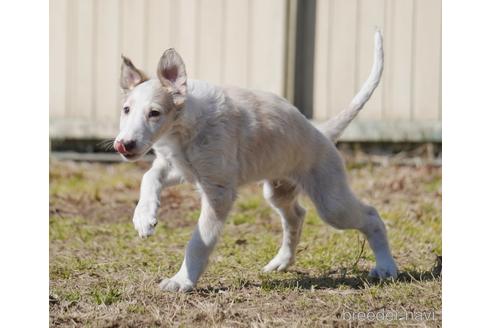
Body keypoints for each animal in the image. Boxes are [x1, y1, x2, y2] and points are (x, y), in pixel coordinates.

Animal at [114, 31, 396, 292]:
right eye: (126, 109)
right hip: (278, 190)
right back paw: (281, 261)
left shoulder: (218, 190)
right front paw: (144, 218)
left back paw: (386, 267)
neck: (183, 129)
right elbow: (149, 176)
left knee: (371, 216)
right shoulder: (179, 168)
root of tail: (322, 133)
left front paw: (182, 281)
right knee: (297, 216)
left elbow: (199, 241)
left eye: (154, 113)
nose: (122, 145)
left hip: (332, 203)